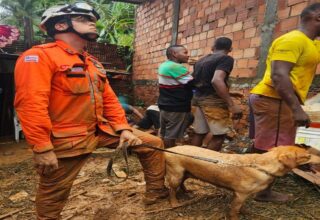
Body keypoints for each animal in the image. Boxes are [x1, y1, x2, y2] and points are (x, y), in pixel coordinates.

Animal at [166, 145, 320, 219]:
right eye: (307, 156)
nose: (318, 157)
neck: (263, 166)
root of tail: (169, 149)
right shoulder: (240, 194)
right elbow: (234, 211)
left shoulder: (244, 195)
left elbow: (242, 207)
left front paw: (246, 213)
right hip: (176, 175)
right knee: (171, 190)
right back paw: (175, 203)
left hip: (186, 173)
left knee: (182, 184)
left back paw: (187, 191)